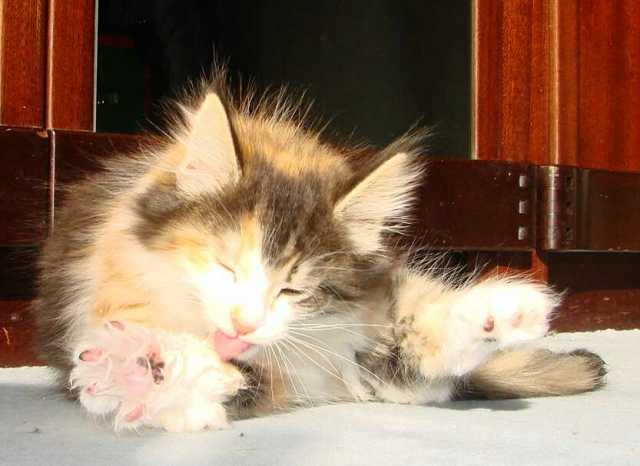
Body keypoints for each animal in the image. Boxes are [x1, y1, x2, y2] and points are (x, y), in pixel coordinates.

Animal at [33, 74, 606, 432]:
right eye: (225, 265)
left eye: (294, 288)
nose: (243, 324)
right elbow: (223, 382)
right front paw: (142, 373)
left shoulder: (366, 342)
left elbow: (421, 368)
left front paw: (498, 313)